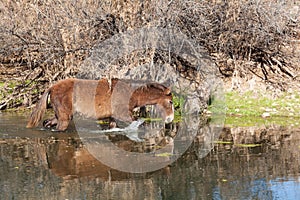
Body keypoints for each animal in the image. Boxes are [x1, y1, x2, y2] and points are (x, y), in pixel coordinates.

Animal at [27, 78, 176, 131]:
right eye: (170, 102)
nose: (170, 119)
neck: (131, 94)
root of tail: (51, 87)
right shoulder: (122, 114)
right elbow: (137, 122)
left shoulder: (113, 118)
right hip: (64, 116)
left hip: (60, 114)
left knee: (47, 122)